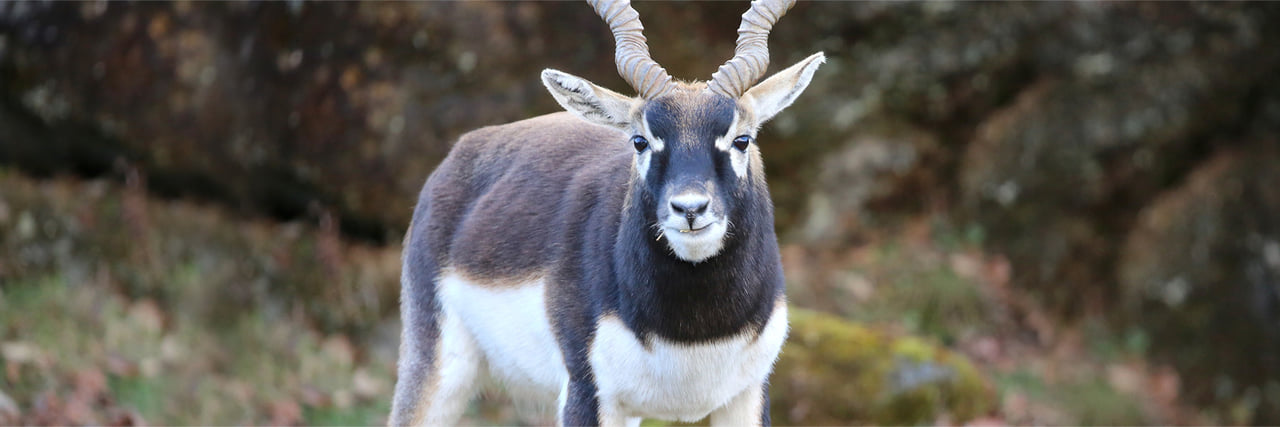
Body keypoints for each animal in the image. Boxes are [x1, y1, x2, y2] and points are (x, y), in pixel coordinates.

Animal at [389, 0, 824, 424]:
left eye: (742, 139)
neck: (695, 330)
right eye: (640, 141)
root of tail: (460, 153)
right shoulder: (586, 391)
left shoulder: (747, 393)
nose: (689, 209)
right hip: (436, 366)